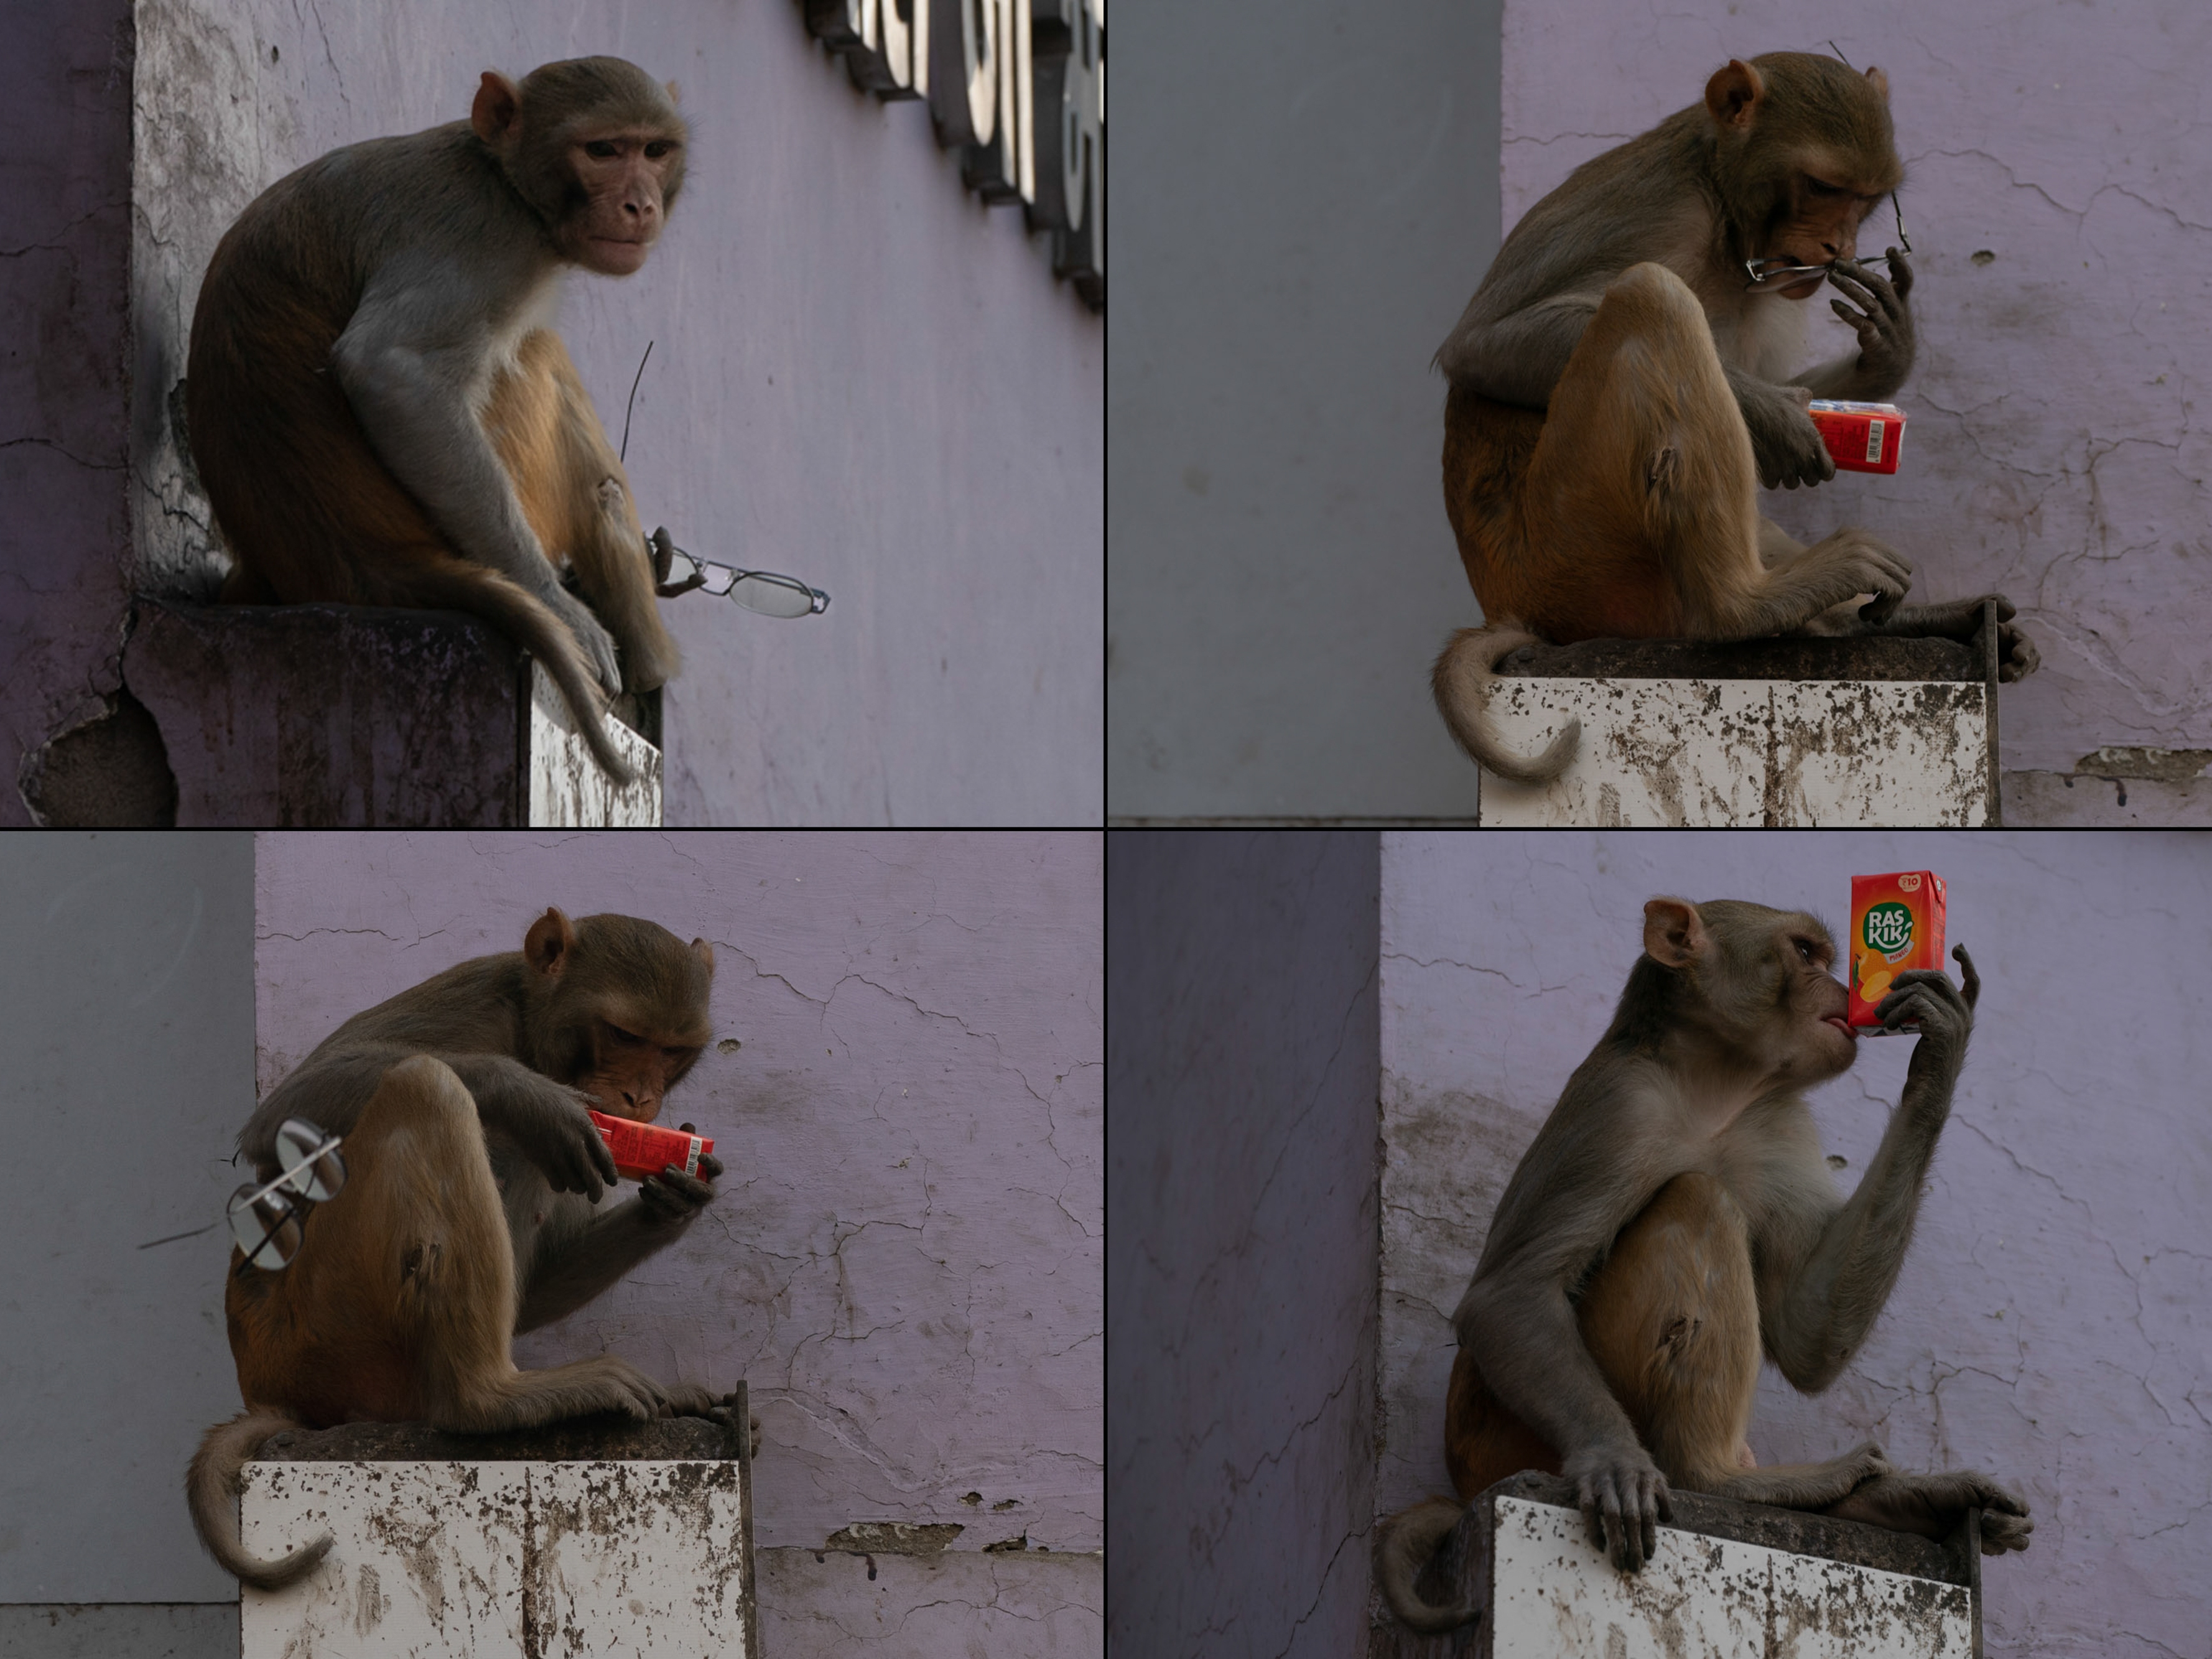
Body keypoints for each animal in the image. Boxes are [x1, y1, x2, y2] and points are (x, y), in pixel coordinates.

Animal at [186, 58, 691, 785]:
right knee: (535, 352)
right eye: (602, 150)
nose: (640, 204)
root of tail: (362, 560)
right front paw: (558, 604)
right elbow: (391, 370)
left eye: (654, 151)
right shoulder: (483, 243)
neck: (504, 180)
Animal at [187, 907, 737, 1589]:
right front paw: (525, 1092)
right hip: (326, 1329)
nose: (640, 1100)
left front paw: (677, 1195)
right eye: (623, 1035)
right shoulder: (473, 1001)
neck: (529, 1032)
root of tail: (269, 1384)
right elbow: (280, 1121)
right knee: (429, 1086)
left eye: (671, 1051)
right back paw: (489, 1398)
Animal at [1378, 898, 2031, 1634]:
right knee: (1698, 1199)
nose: (1843, 994)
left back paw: (1893, 1502)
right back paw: (1717, 1478)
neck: (1716, 1088)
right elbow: (1509, 1291)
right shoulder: (1620, 1107)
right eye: (1804, 953)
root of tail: (1467, 1477)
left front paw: (1937, 1049)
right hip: (1520, 1439)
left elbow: (1806, 1336)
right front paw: (1611, 1456)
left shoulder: (1779, 1124)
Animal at [1427, 52, 2039, 784]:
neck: (1722, 209)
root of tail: (1512, 604)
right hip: (1579, 558)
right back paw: (1745, 606)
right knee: (1652, 299)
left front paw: (1883, 358)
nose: (1838, 242)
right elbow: (1482, 347)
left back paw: (1878, 621)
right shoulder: (1652, 207)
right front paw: (1767, 411)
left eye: (1863, 198)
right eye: (1822, 186)